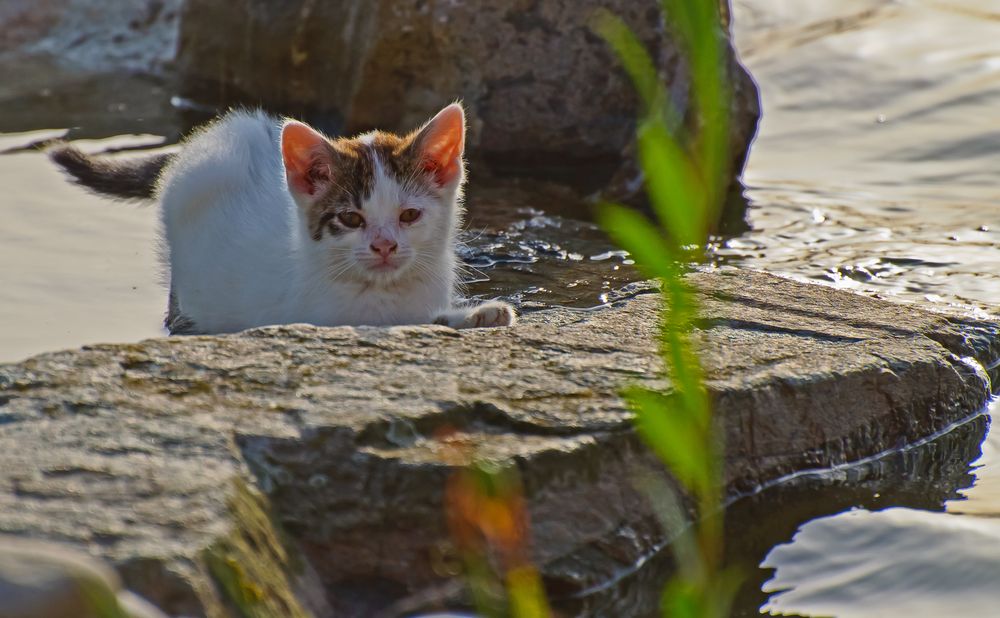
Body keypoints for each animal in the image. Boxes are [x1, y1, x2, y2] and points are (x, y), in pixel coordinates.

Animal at [48, 103, 516, 332]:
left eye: (410, 215)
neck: (383, 294)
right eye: (351, 219)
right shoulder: (319, 316)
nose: (384, 246)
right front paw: (473, 315)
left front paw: (480, 315)